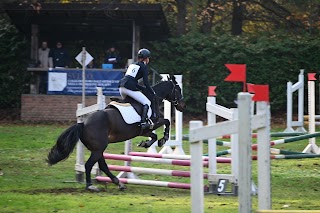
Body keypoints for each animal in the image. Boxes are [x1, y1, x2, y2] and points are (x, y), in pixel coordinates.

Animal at [45, 75, 185, 191]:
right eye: (178, 89)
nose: (182, 106)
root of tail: (83, 124)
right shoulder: (152, 124)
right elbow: (166, 122)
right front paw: (163, 139)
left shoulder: (144, 130)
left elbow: (154, 135)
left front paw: (145, 143)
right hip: (98, 149)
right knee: (89, 165)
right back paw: (91, 186)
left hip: (98, 148)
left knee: (102, 165)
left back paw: (119, 183)